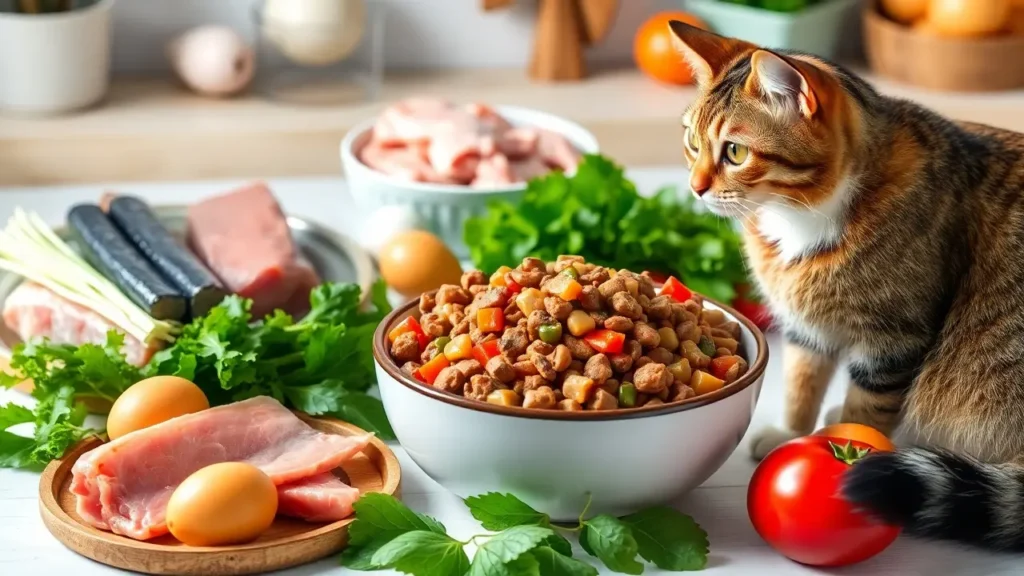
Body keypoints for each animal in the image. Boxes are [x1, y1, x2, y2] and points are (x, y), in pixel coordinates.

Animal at [667, 22, 1024, 549]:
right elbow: (802, 381)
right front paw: (792, 435)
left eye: (735, 151)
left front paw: (850, 449)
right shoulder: (806, 327)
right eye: (691, 142)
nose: (694, 188)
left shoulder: (893, 343)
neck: (800, 219)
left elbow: (865, 409)